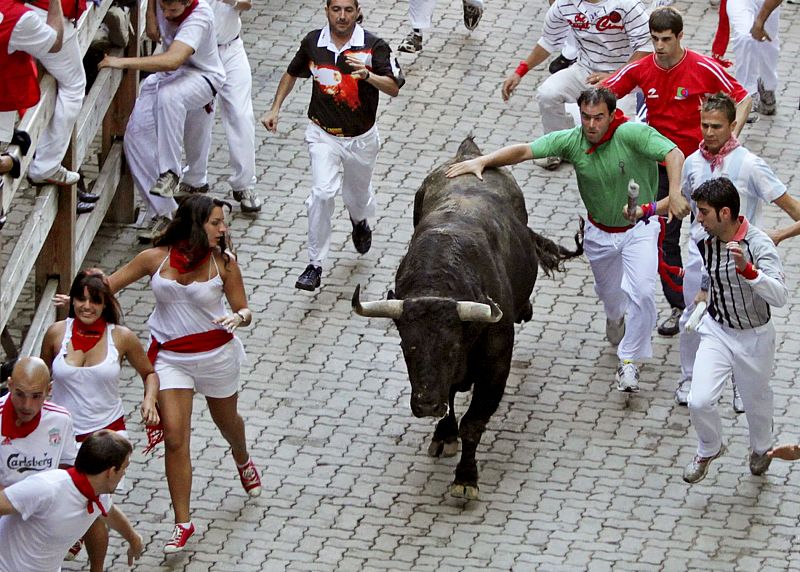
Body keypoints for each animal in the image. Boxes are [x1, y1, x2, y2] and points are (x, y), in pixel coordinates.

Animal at [354, 136, 584, 498]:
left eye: (450, 349)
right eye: (407, 348)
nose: (425, 405)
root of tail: (469, 155)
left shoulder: (496, 367)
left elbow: (473, 424)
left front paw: (465, 479)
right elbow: (450, 402)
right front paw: (444, 434)